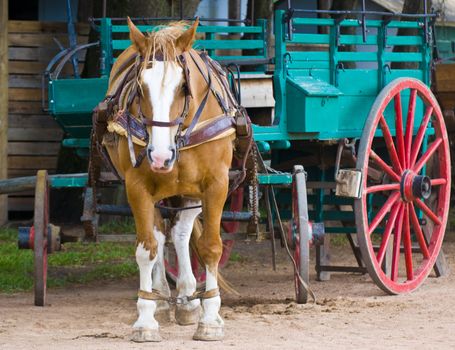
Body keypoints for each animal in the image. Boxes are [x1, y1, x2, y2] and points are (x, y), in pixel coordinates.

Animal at [98, 17, 244, 342]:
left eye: (183, 87)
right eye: (140, 87)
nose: (161, 156)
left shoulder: (216, 185)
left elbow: (210, 247)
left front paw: (210, 318)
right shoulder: (137, 187)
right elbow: (147, 249)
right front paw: (145, 319)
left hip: (189, 193)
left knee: (180, 234)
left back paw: (188, 300)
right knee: (161, 235)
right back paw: (164, 298)